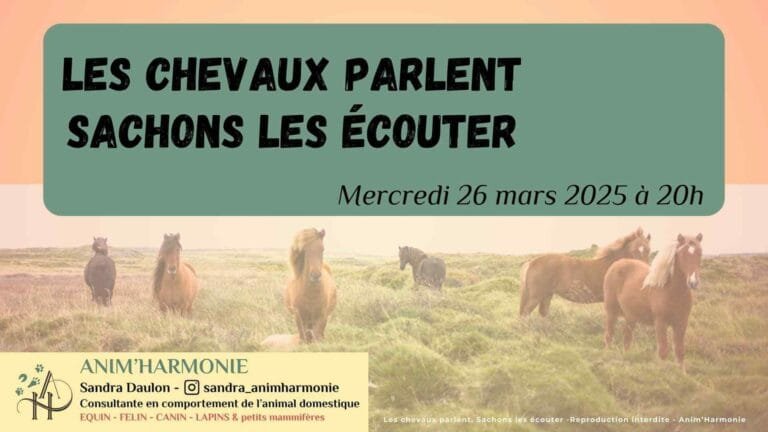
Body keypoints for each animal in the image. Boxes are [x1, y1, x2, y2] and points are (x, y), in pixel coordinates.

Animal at [519, 227, 651, 317]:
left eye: (649, 250)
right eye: (635, 250)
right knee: (525, 313)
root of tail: (531, 262)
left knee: (543, 312)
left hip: (547, 295)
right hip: (536, 296)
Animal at [603, 233, 703, 373]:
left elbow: (680, 351)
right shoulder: (660, 323)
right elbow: (663, 351)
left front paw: (682, 374)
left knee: (627, 338)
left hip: (630, 317)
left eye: (700, 252)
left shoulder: (682, 323)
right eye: (682, 254)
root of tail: (617, 264)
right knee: (609, 335)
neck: (671, 290)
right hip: (611, 312)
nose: (693, 282)